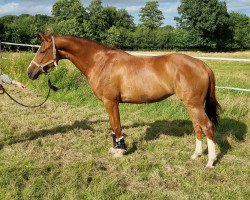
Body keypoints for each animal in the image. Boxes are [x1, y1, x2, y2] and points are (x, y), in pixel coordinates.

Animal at [26, 33, 221, 168]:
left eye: (42, 50)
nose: (30, 72)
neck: (100, 62)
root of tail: (202, 65)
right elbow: (113, 127)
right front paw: (116, 148)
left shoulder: (110, 102)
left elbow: (116, 126)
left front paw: (120, 150)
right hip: (192, 105)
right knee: (197, 127)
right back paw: (196, 155)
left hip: (194, 105)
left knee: (207, 126)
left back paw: (210, 161)